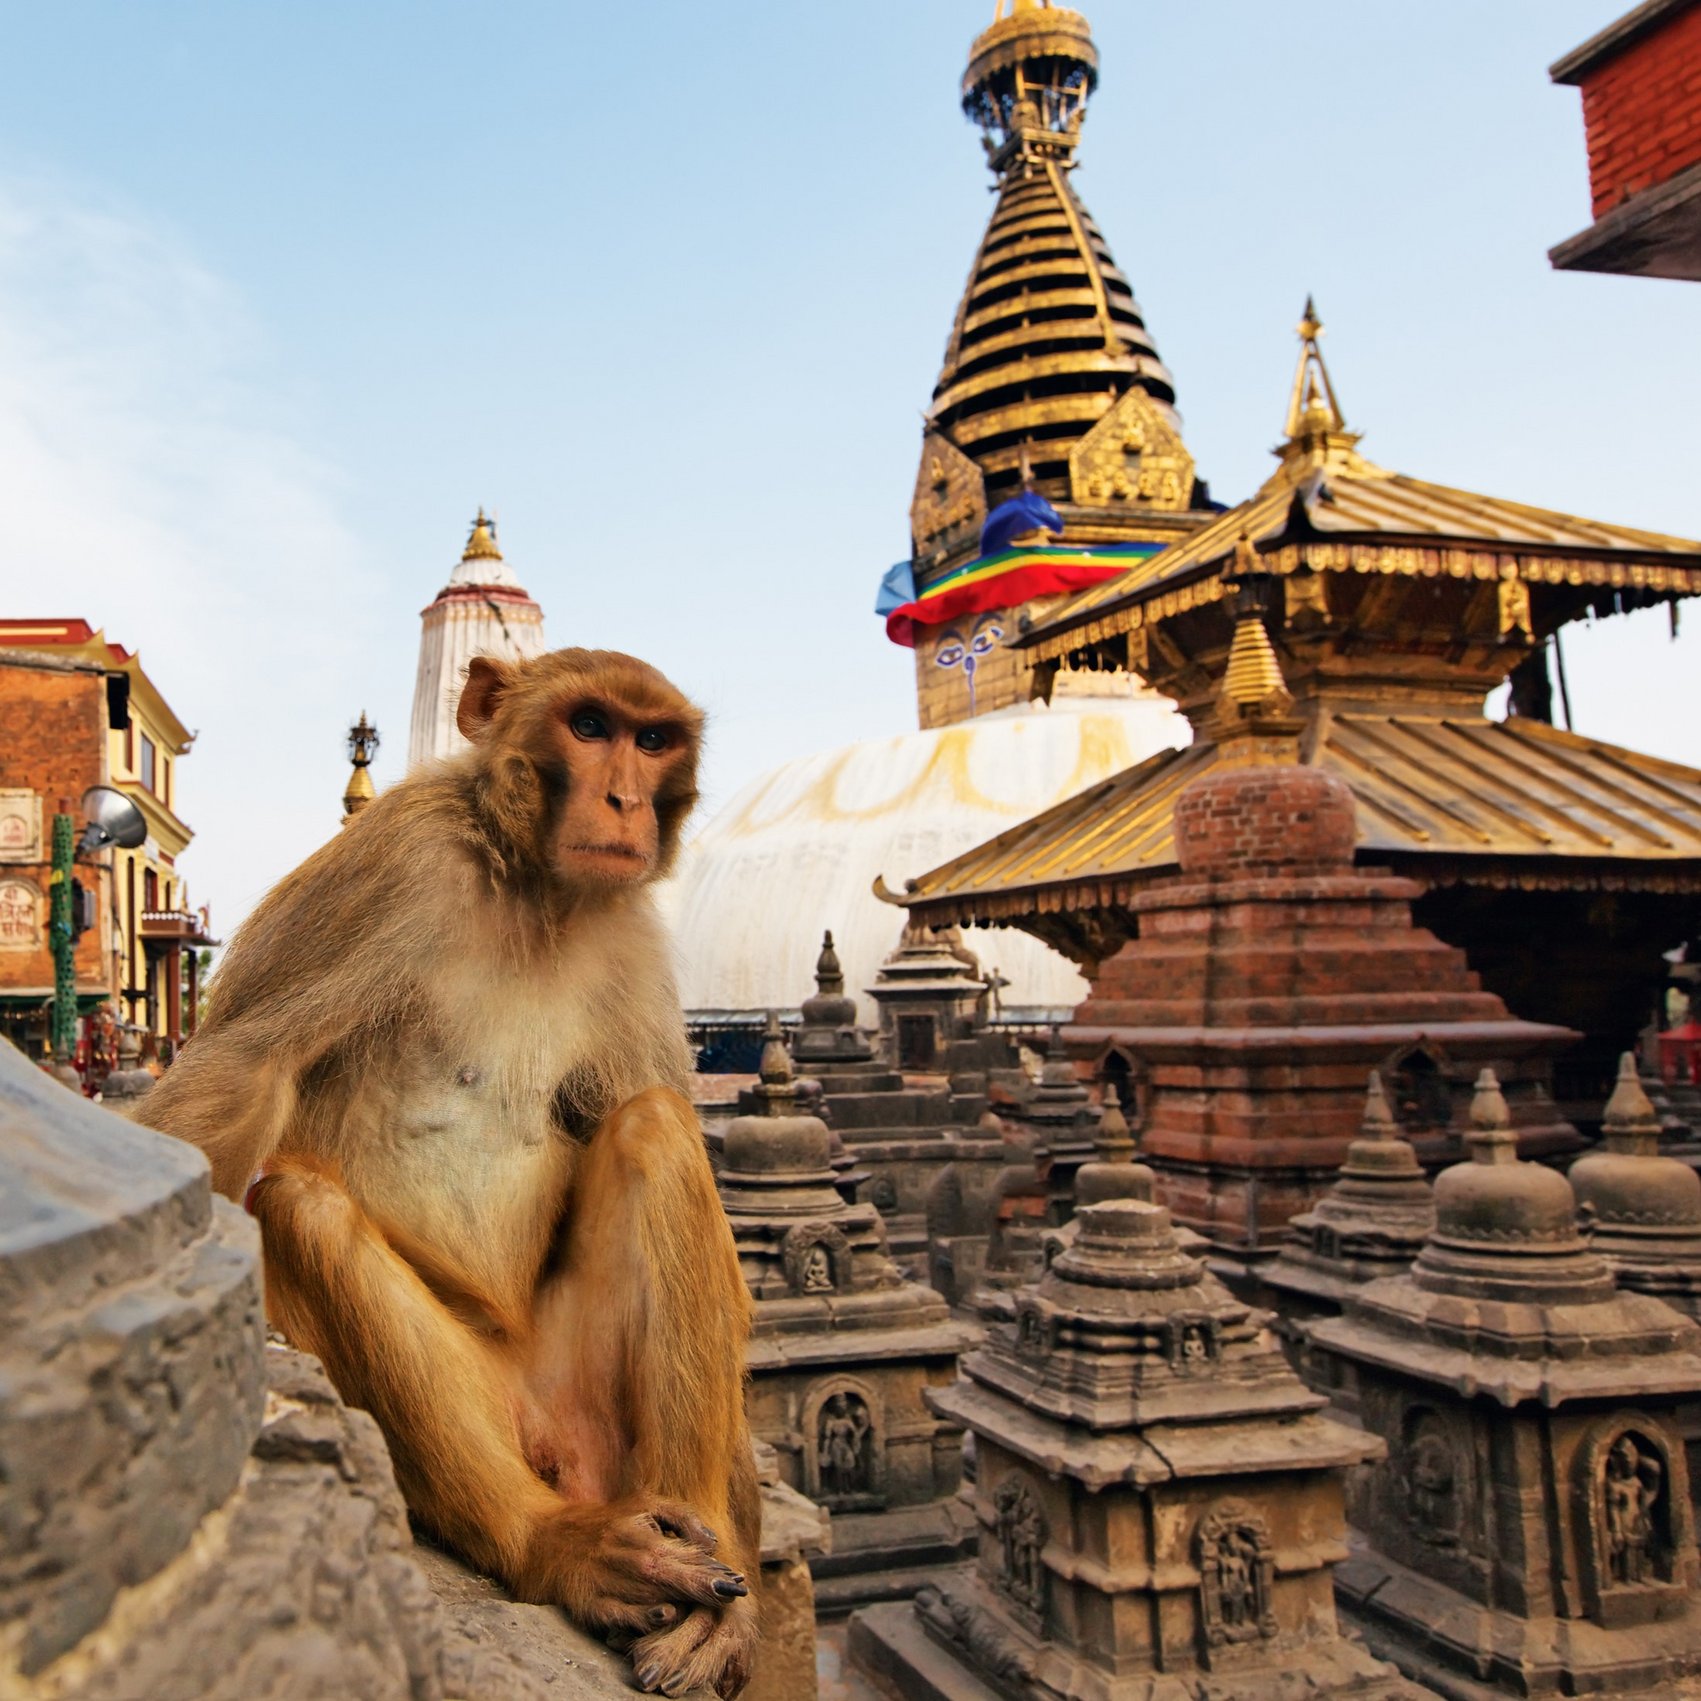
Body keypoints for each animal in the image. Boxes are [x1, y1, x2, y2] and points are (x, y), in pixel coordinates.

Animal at [137, 649, 759, 1698]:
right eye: (589, 727)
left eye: (651, 738)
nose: (626, 798)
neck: (534, 888)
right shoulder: (396, 860)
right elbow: (242, 1069)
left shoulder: (629, 930)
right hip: (485, 1405)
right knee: (299, 1204)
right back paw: (554, 1544)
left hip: (595, 1405)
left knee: (654, 1124)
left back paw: (701, 1537)